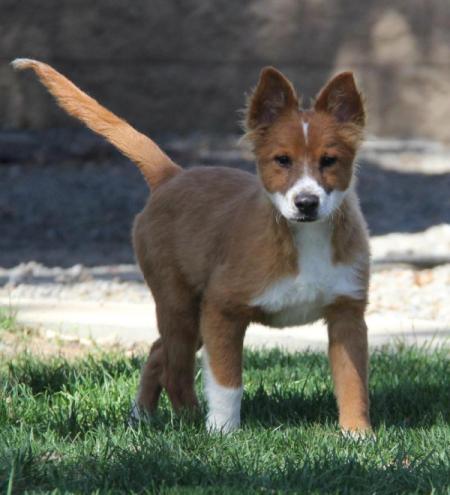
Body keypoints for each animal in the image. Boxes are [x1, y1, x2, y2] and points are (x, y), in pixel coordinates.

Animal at [14, 58, 372, 434]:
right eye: (282, 160)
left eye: (329, 161)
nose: (306, 203)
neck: (303, 238)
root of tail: (170, 175)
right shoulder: (222, 309)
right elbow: (227, 381)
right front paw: (223, 432)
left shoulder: (347, 313)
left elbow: (353, 382)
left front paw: (357, 435)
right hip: (179, 304)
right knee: (175, 369)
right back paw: (187, 421)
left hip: (191, 317)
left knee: (158, 352)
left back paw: (141, 417)